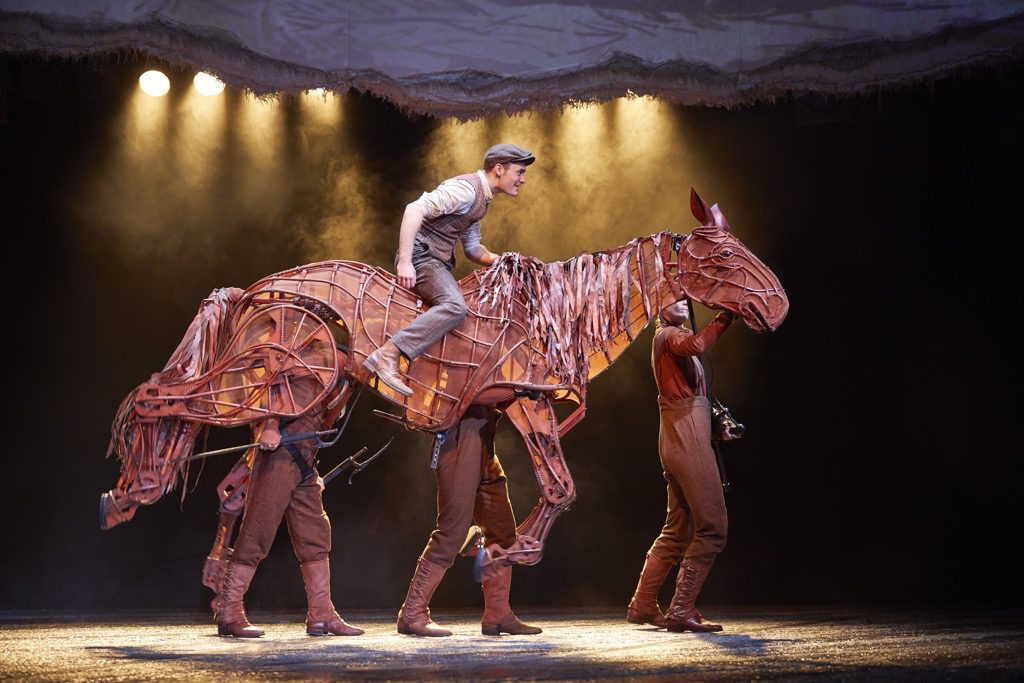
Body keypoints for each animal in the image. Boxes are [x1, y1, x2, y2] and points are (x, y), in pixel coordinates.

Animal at [100, 187, 789, 574]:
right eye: (724, 254)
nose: (778, 305)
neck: (557, 314)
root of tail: (255, 289)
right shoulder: (529, 402)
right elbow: (561, 486)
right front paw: (511, 551)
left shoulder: (498, 410)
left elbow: (520, 489)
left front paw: (490, 545)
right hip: (265, 374)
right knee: (162, 397)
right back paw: (125, 494)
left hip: (306, 404)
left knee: (236, 479)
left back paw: (215, 576)